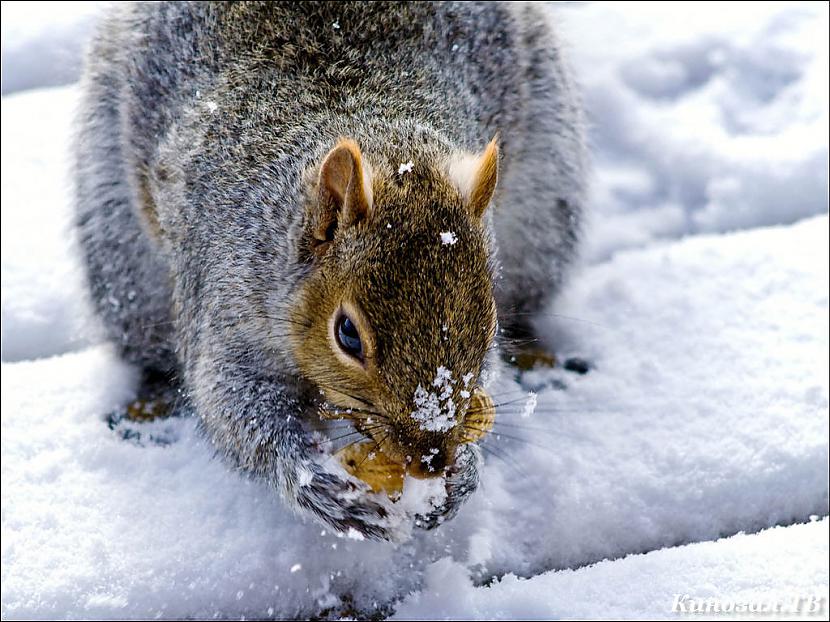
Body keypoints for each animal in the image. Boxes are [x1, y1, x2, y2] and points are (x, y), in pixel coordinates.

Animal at [75, 1, 588, 540]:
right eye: (347, 335)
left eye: (488, 325)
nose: (430, 458)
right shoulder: (226, 297)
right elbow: (231, 403)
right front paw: (312, 481)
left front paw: (465, 469)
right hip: (119, 253)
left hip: (546, 206)